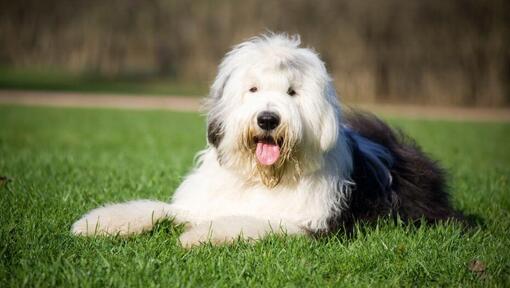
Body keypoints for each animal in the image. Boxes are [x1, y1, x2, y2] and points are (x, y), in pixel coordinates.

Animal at [72, 34, 462, 248]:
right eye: (253, 89)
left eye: (292, 92)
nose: (268, 119)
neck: (264, 177)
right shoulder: (200, 202)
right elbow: (156, 208)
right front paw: (97, 223)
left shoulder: (310, 224)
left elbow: (251, 221)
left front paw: (196, 236)